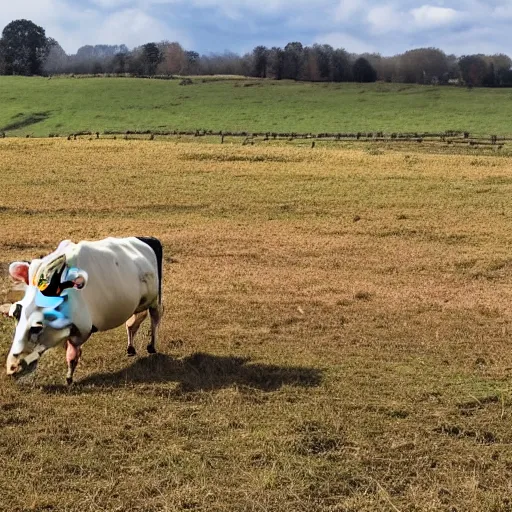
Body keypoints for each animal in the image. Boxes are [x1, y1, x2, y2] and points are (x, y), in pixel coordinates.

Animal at [5, 236, 163, 384]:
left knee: (155, 318)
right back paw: (130, 347)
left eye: (36, 327)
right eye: (15, 314)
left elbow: (72, 354)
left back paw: (152, 346)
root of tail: (148, 239)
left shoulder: (82, 328)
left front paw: (69, 378)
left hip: (155, 300)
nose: (12, 367)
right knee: (132, 322)